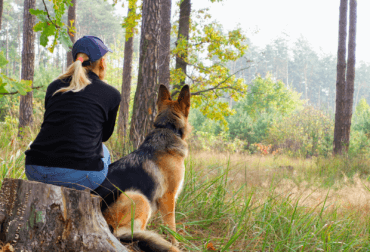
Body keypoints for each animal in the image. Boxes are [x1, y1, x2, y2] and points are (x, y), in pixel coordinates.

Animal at [92, 84, 191, 252]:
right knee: (127, 233)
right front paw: (174, 243)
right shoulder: (168, 197)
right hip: (140, 198)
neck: (167, 128)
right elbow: (171, 226)